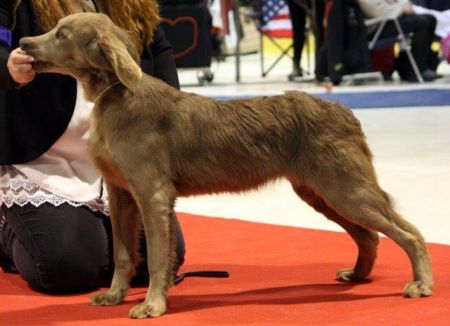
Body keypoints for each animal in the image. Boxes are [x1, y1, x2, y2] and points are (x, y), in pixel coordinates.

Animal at [19, 12, 434, 318]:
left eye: (62, 34)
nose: (23, 43)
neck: (115, 95)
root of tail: (345, 111)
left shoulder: (152, 195)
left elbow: (156, 257)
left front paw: (152, 305)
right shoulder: (121, 194)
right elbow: (123, 254)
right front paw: (113, 296)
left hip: (345, 187)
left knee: (409, 232)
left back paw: (421, 284)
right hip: (320, 191)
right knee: (368, 235)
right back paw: (357, 274)